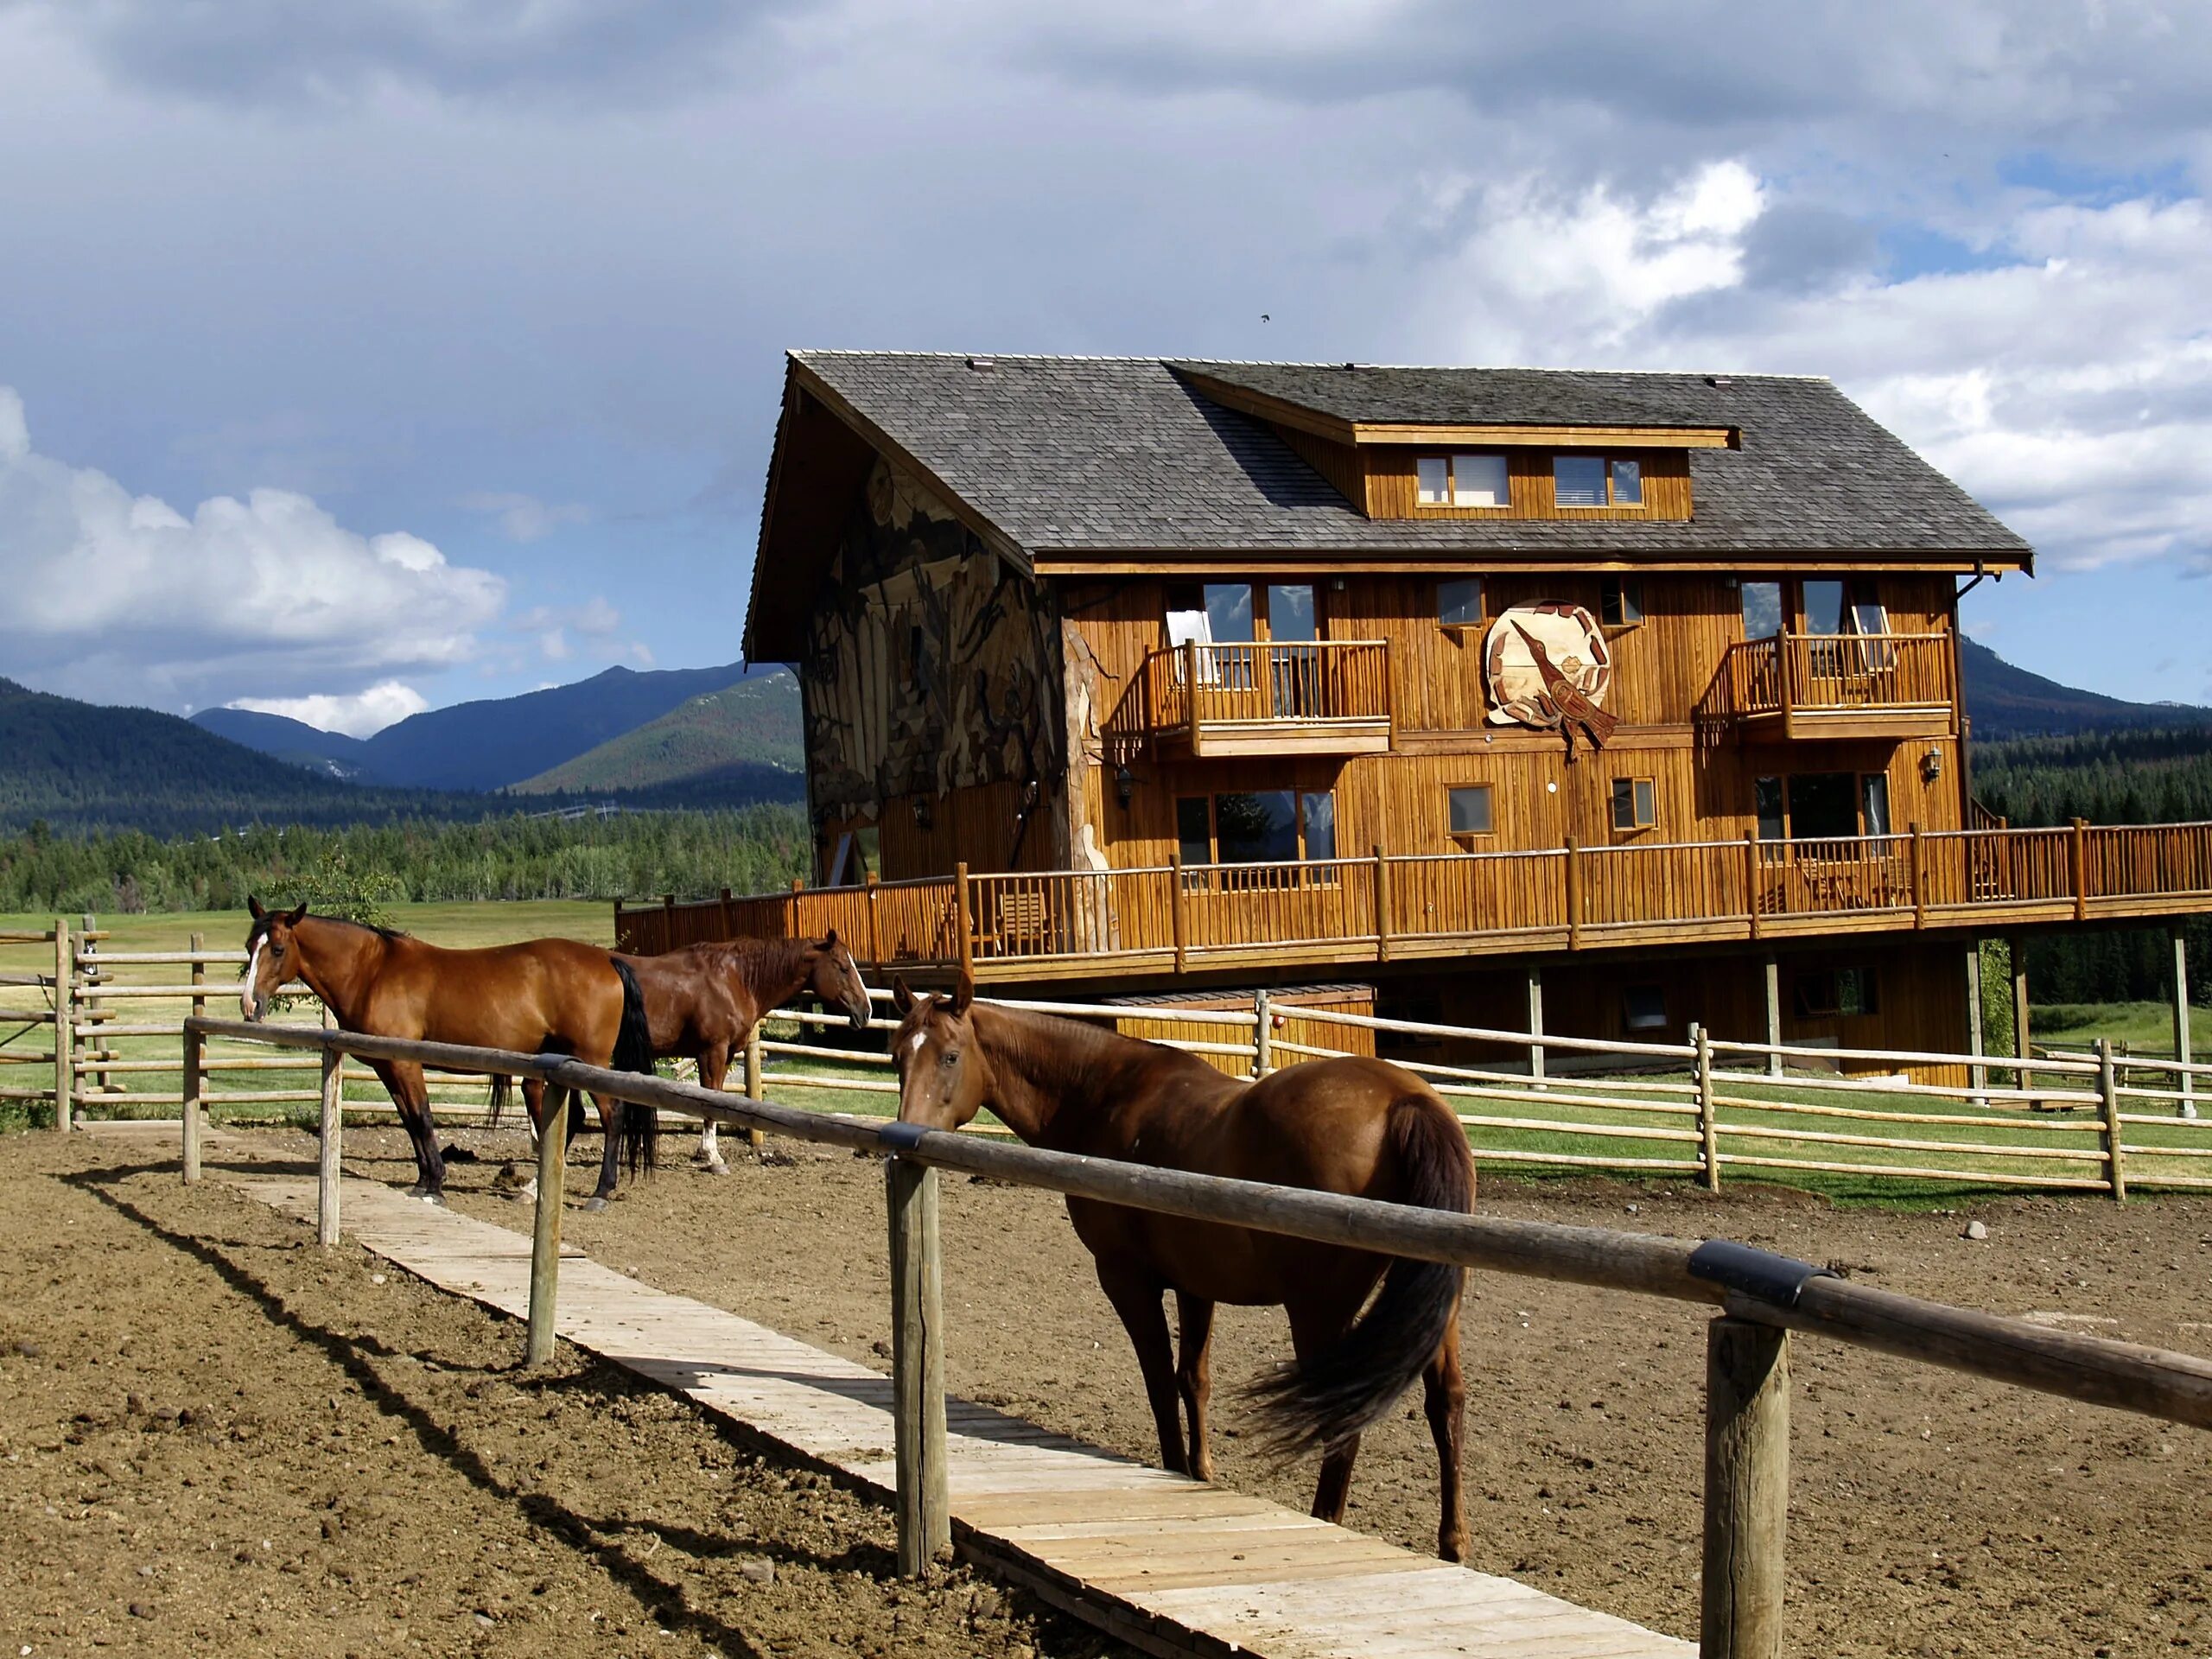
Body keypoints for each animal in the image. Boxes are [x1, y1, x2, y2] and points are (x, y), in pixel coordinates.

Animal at [244, 898, 654, 1211]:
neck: (372, 970)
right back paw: (532, 1189)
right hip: (562, 1062)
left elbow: (424, 1118)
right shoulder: (387, 1068)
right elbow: (410, 1121)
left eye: (277, 949)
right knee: (576, 1119)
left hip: (591, 1060)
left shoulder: (406, 1064)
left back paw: (601, 1192)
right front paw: (422, 1182)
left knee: (613, 1116)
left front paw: (436, 1186)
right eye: (250, 947)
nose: (250, 1005)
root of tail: (607, 961)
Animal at [623, 929, 871, 1176]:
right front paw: (712, 1157)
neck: (731, 981)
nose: (866, 1011)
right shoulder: (712, 1053)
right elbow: (709, 1097)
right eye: (844, 968)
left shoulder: (726, 1055)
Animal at [889, 973, 1478, 1557]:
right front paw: (1201, 1472)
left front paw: (1175, 1468)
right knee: (1445, 1404)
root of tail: (1406, 1102)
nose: (904, 1137)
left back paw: (1327, 1521)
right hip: (1437, 1308)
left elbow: (1157, 1379)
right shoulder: (1197, 1284)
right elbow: (1193, 1379)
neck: (1101, 1094)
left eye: (950, 1056)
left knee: (1346, 1421)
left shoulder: (1127, 1279)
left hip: (1319, 1312)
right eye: (898, 1056)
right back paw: (1453, 1543)